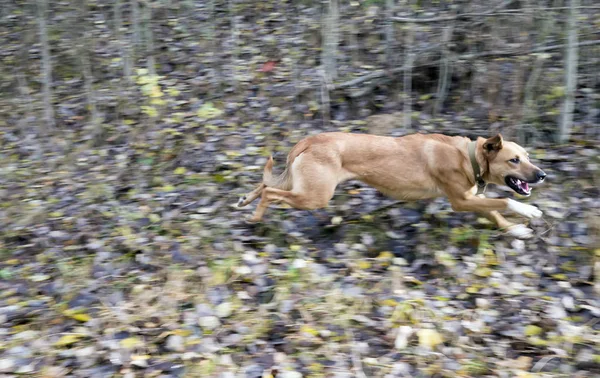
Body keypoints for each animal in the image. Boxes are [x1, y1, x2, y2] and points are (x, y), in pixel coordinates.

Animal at [237, 133, 548, 238]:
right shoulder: (461, 202)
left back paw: (244, 201)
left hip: (302, 186)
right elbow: (503, 202)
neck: (468, 157)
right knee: (270, 192)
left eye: (528, 156)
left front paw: (515, 229)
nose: (543, 174)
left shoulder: (470, 199)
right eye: (514, 160)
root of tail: (308, 140)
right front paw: (529, 212)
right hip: (315, 196)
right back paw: (255, 217)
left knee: (263, 185)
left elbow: (494, 212)